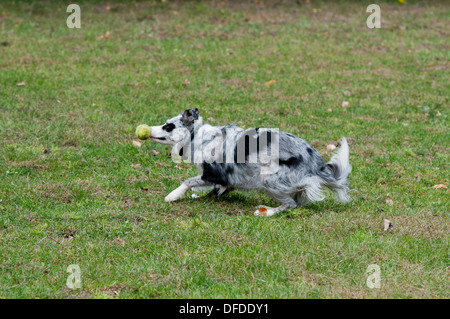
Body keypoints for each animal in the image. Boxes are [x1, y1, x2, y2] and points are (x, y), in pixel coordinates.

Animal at [148, 108, 352, 218]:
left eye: (168, 126)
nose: (148, 129)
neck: (198, 137)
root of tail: (315, 161)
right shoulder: (225, 181)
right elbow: (213, 191)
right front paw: (195, 197)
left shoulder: (214, 174)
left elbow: (189, 181)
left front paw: (173, 195)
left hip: (267, 178)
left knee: (290, 204)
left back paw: (267, 212)